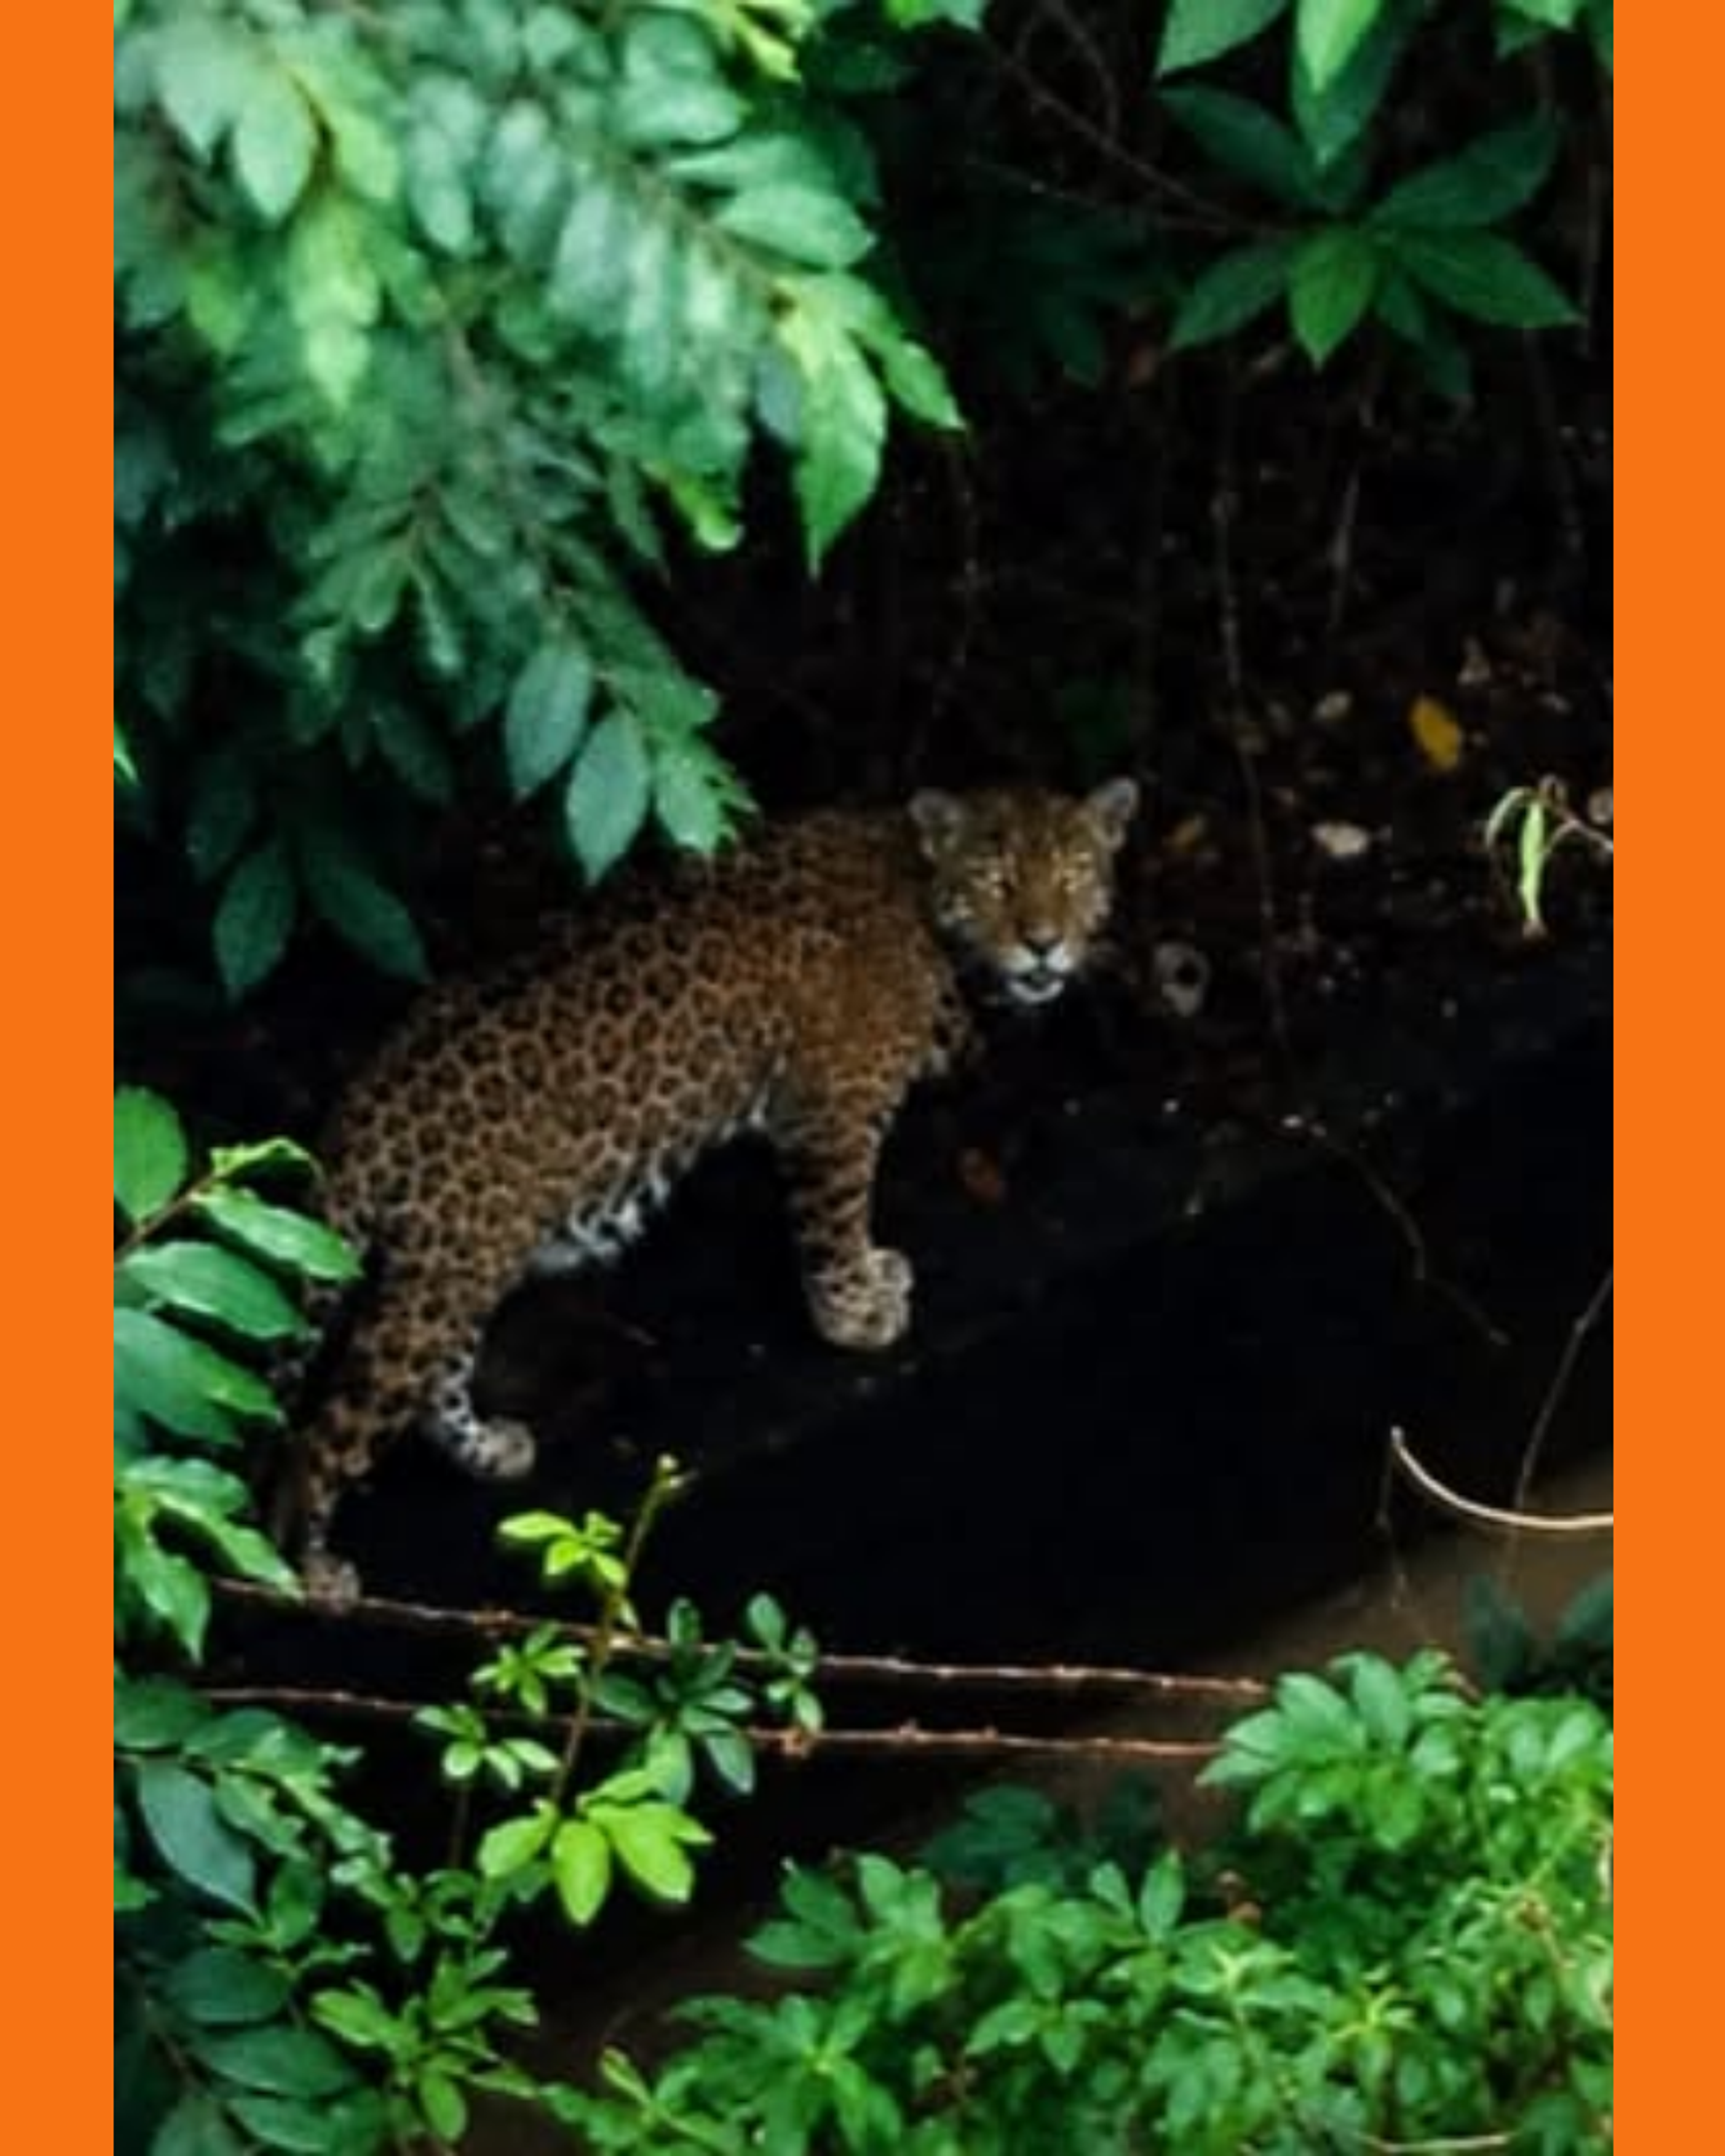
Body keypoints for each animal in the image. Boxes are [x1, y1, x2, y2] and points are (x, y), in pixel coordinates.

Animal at [279, 779, 1140, 1601]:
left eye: (1073, 876)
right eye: (998, 881)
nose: (1043, 944)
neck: (921, 901)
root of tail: (365, 1108)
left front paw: (876, 1274)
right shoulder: (830, 1112)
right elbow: (834, 1225)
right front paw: (853, 1316)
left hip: (460, 1260)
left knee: (437, 1384)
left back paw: (487, 1450)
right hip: (437, 1286)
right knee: (322, 1440)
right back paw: (310, 1574)